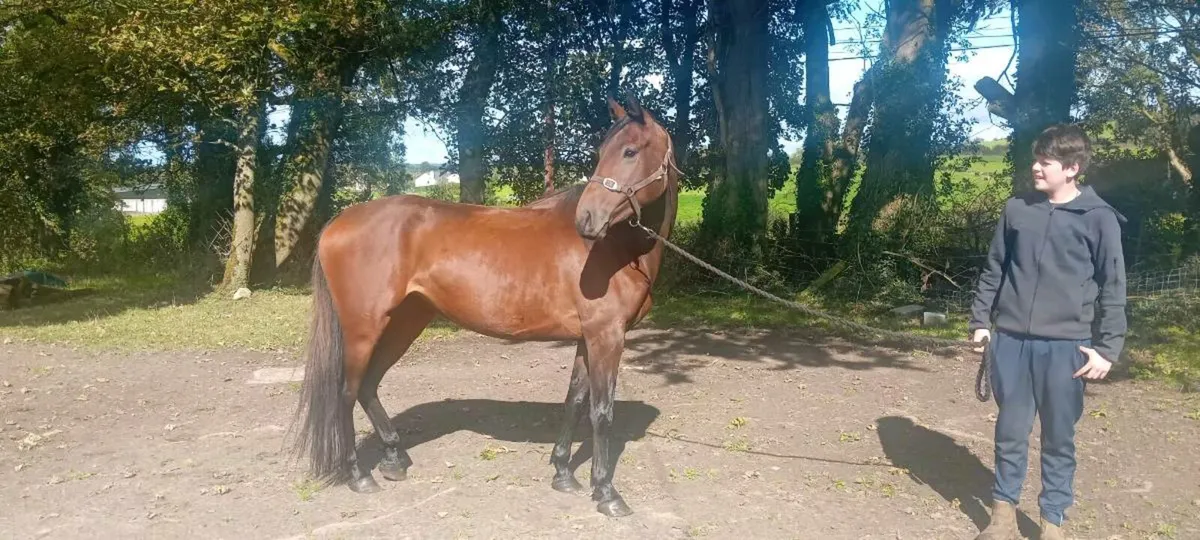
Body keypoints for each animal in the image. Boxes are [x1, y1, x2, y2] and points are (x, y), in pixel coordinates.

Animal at [290, 93, 680, 518]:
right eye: (602, 151)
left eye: (629, 151)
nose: (587, 220)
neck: (617, 250)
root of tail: (338, 222)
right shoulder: (606, 337)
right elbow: (602, 411)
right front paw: (607, 492)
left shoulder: (587, 338)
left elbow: (575, 401)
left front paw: (563, 472)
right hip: (364, 329)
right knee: (347, 392)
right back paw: (359, 475)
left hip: (406, 322)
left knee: (369, 386)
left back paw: (394, 458)